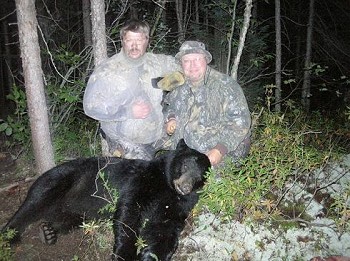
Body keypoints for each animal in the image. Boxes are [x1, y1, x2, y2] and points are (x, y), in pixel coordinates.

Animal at [1, 139, 211, 260]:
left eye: (200, 175)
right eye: (185, 165)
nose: (185, 187)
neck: (167, 186)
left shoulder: (178, 206)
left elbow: (164, 229)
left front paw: (150, 255)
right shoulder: (141, 180)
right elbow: (129, 212)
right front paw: (124, 254)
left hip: (78, 212)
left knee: (67, 218)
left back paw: (48, 232)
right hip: (60, 179)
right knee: (33, 203)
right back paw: (10, 235)